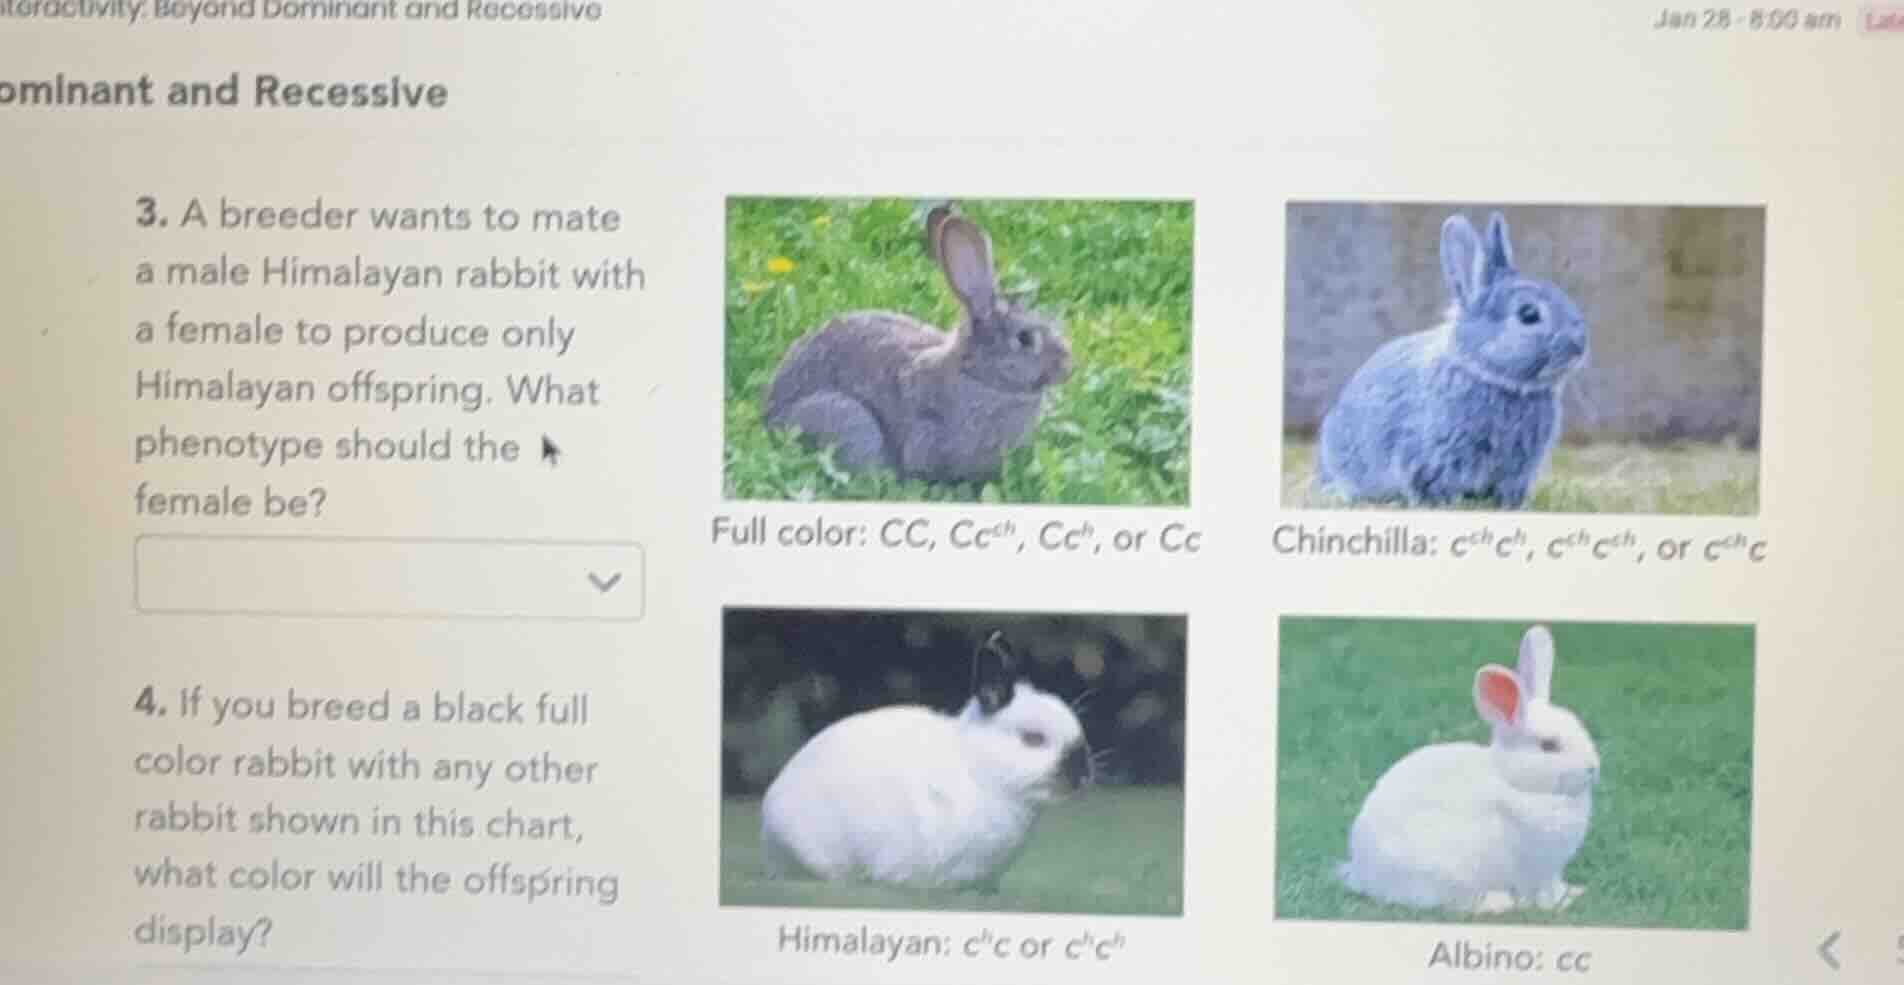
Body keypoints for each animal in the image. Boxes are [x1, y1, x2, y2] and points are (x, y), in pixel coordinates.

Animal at [1337, 625, 1600, 913]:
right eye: (1549, 745)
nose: (1593, 767)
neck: (1514, 782)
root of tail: (1363, 871)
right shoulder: (1537, 870)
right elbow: (1544, 891)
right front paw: (1557, 905)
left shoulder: (1551, 870)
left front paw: (1574, 893)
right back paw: (1497, 904)